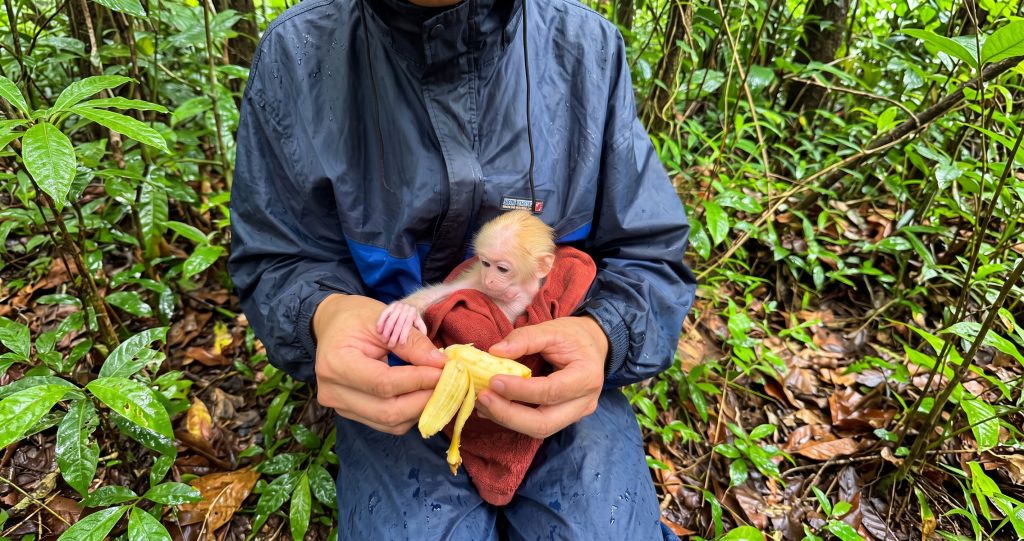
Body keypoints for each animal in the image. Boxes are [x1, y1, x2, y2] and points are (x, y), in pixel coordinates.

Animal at [376, 210, 556, 348]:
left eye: (502, 269)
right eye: (485, 264)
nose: (489, 280)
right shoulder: (477, 282)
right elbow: (445, 293)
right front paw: (406, 310)